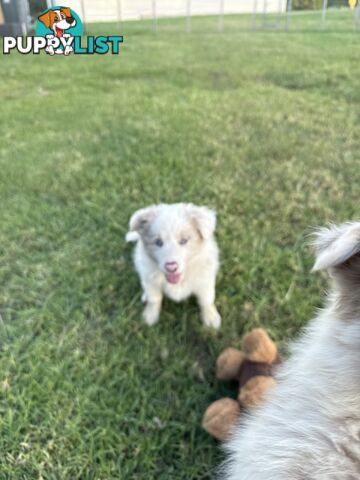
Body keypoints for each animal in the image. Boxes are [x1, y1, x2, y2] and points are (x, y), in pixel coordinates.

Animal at [126, 202, 222, 330]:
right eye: (158, 242)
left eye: (184, 241)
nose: (171, 267)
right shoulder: (150, 280)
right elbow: (154, 299)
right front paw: (150, 316)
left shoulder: (205, 281)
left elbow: (206, 300)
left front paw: (211, 317)